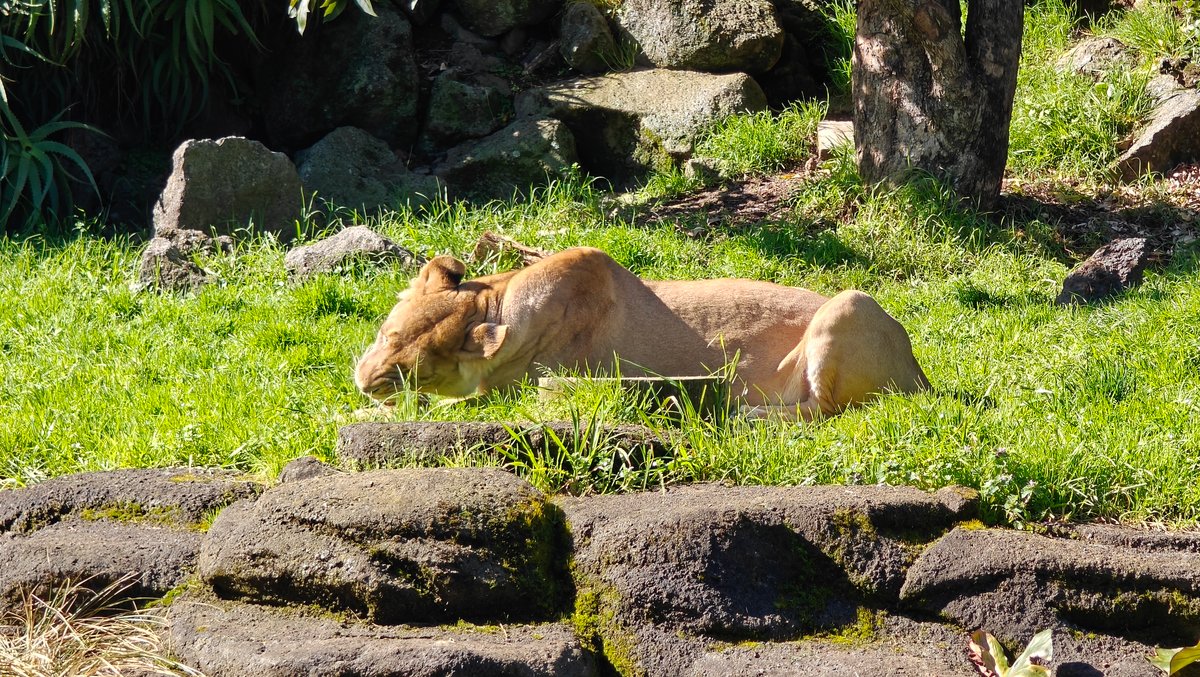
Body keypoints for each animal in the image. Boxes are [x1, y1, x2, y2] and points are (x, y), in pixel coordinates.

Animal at [354, 247, 930, 420]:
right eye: (387, 334)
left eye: (414, 368)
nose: (363, 381)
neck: (497, 299)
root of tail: (921, 374)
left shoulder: (511, 386)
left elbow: (439, 406)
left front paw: (361, 412)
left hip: (850, 304)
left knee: (824, 410)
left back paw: (747, 414)